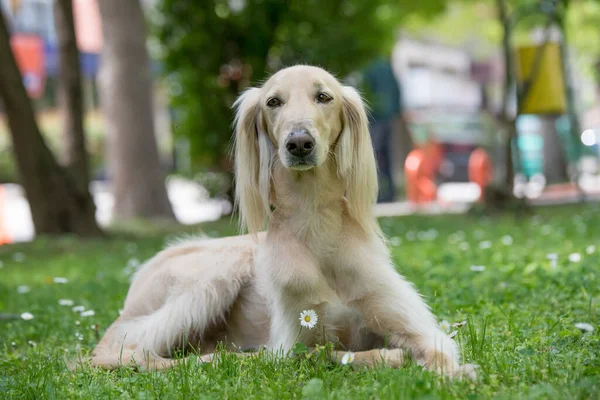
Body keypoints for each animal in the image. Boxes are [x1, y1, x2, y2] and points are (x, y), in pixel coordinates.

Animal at [90, 65, 474, 378]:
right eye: (273, 102)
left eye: (323, 96)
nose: (299, 143)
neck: (315, 223)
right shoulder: (295, 343)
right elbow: (326, 355)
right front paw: (391, 357)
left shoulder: (411, 323)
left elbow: (436, 350)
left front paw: (454, 375)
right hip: (217, 270)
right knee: (129, 352)